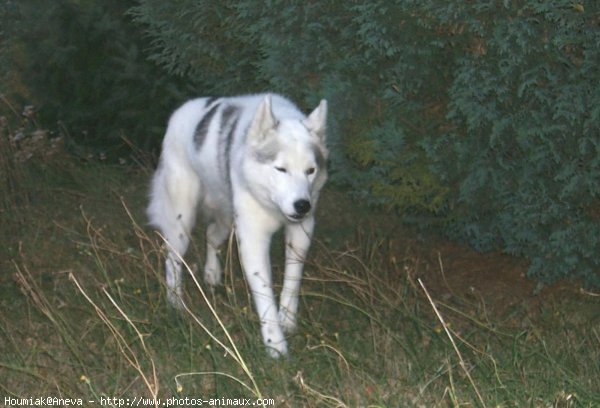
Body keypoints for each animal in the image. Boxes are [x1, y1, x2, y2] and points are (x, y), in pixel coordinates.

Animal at [149, 93, 328, 356]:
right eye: (280, 169)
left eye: (310, 170)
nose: (302, 206)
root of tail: (181, 110)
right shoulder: (253, 239)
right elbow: (264, 294)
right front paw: (275, 344)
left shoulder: (300, 233)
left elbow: (292, 281)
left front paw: (287, 320)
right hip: (182, 221)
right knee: (172, 257)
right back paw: (175, 302)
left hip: (225, 220)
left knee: (211, 237)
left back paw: (212, 274)